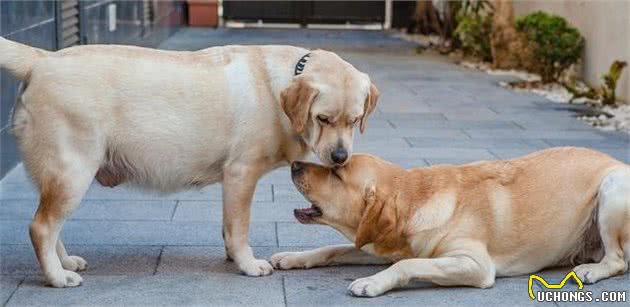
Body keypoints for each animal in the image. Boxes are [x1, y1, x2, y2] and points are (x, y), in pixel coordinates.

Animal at [1, 36, 380, 288]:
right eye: (323, 119)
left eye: (354, 120)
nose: (340, 157)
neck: (280, 87)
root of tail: (42, 59)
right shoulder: (241, 173)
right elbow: (239, 227)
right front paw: (247, 263)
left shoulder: (232, 183)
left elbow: (228, 226)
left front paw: (232, 257)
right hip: (73, 170)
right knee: (41, 227)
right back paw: (56, 276)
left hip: (61, 176)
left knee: (49, 225)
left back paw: (64, 262)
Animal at [272, 148, 630, 298]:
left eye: (337, 173)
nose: (294, 163)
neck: (416, 198)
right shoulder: (380, 244)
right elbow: (332, 248)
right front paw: (293, 258)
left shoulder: (474, 264)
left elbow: (406, 265)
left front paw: (372, 282)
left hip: (611, 188)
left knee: (617, 260)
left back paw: (591, 270)